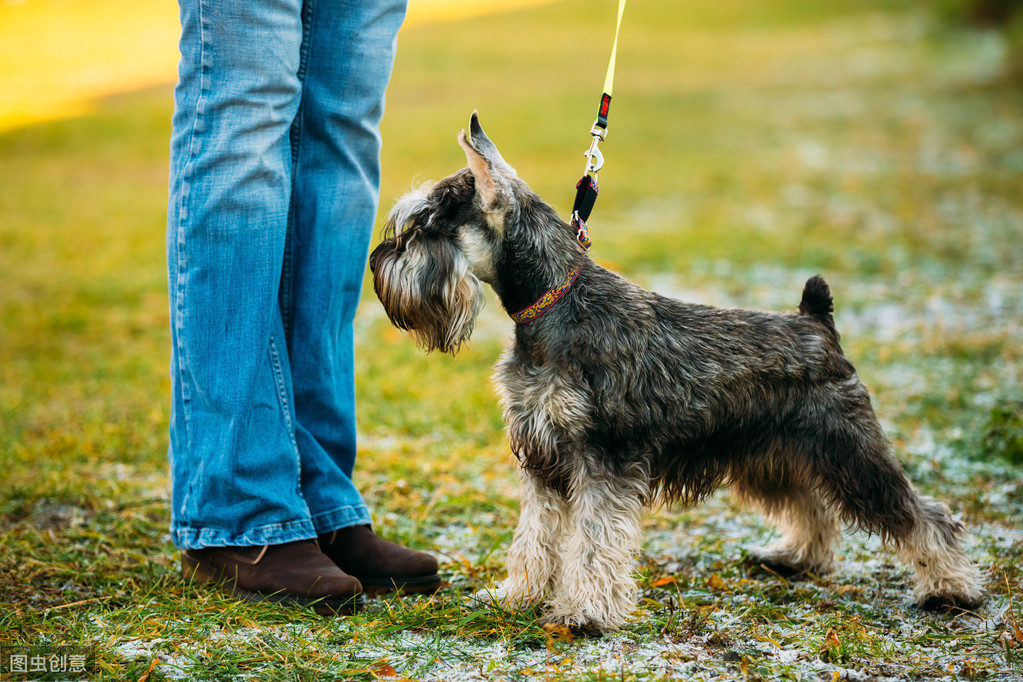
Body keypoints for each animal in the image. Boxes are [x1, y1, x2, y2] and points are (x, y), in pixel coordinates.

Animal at [368, 113, 982, 633]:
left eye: (427, 227)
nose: (378, 262)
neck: (553, 304)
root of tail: (817, 321)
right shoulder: (542, 457)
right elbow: (535, 536)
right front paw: (518, 595)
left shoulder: (602, 459)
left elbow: (594, 541)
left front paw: (584, 613)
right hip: (773, 452)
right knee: (811, 506)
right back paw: (795, 559)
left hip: (847, 449)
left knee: (923, 515)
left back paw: (951, 589)